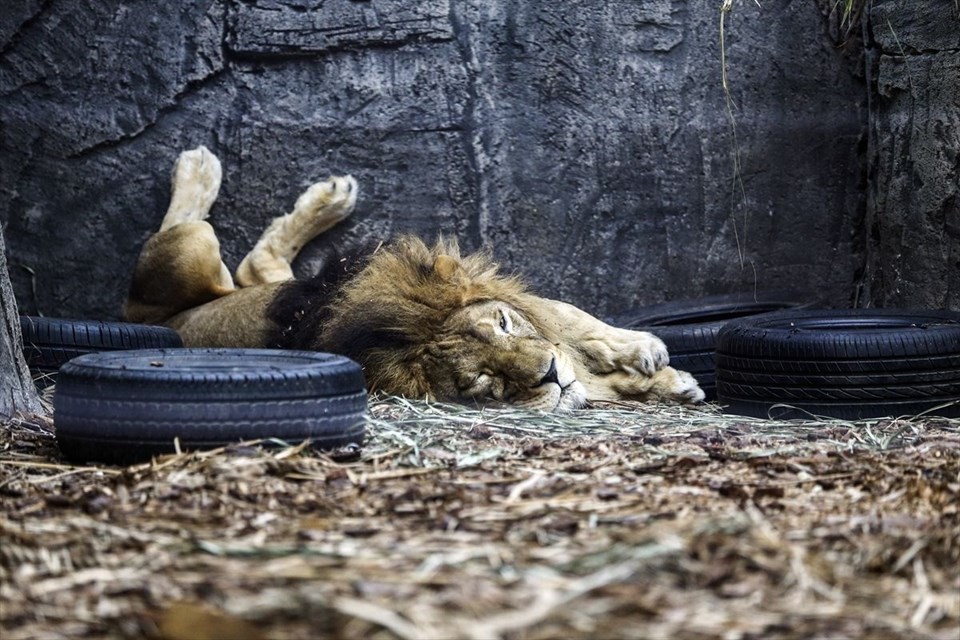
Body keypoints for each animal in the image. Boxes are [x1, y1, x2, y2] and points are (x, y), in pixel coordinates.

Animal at [124, 147, 700, 412]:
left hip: (283, 285)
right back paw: (198, 167)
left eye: (504, 325)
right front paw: (657, 379)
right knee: (177, 233)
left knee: (254, 266)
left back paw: (330, 196)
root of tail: (163, 320)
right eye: (483, 383)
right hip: (189, 254)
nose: (551, 375)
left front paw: (645, 357)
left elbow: (567, 314)